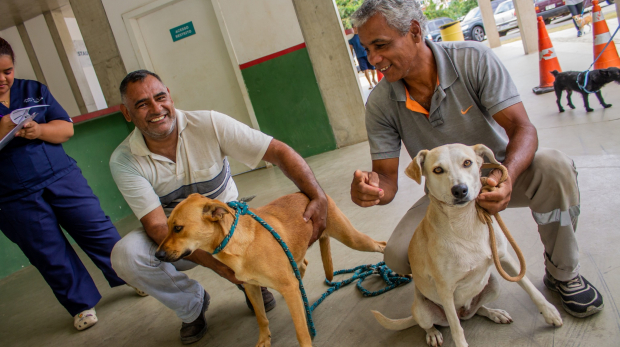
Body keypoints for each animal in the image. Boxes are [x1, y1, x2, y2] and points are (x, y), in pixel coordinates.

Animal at [157, 193, 386, 347]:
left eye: (178, 228)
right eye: (167, 226)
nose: (157, 255)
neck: (239, 242)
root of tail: (312, 193)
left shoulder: (285, 287)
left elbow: (301, 330)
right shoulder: (251, 287)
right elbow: (261, 318)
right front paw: (264, 340)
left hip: (352, 238)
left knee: (381, 244)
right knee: (302, 266)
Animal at [370, 144, 564, 347]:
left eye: (467, 162)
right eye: (437, 170)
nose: (460, 190)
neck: (464, 222)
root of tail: (462, 312)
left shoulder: (504, 257)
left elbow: (529, 286)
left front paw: (549, 312)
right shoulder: (445, 290)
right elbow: (457, 330)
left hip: (494, 285)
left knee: (477, 310)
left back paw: (495, 313)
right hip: (422, 310)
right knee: (431, 324)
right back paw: (433, 333)